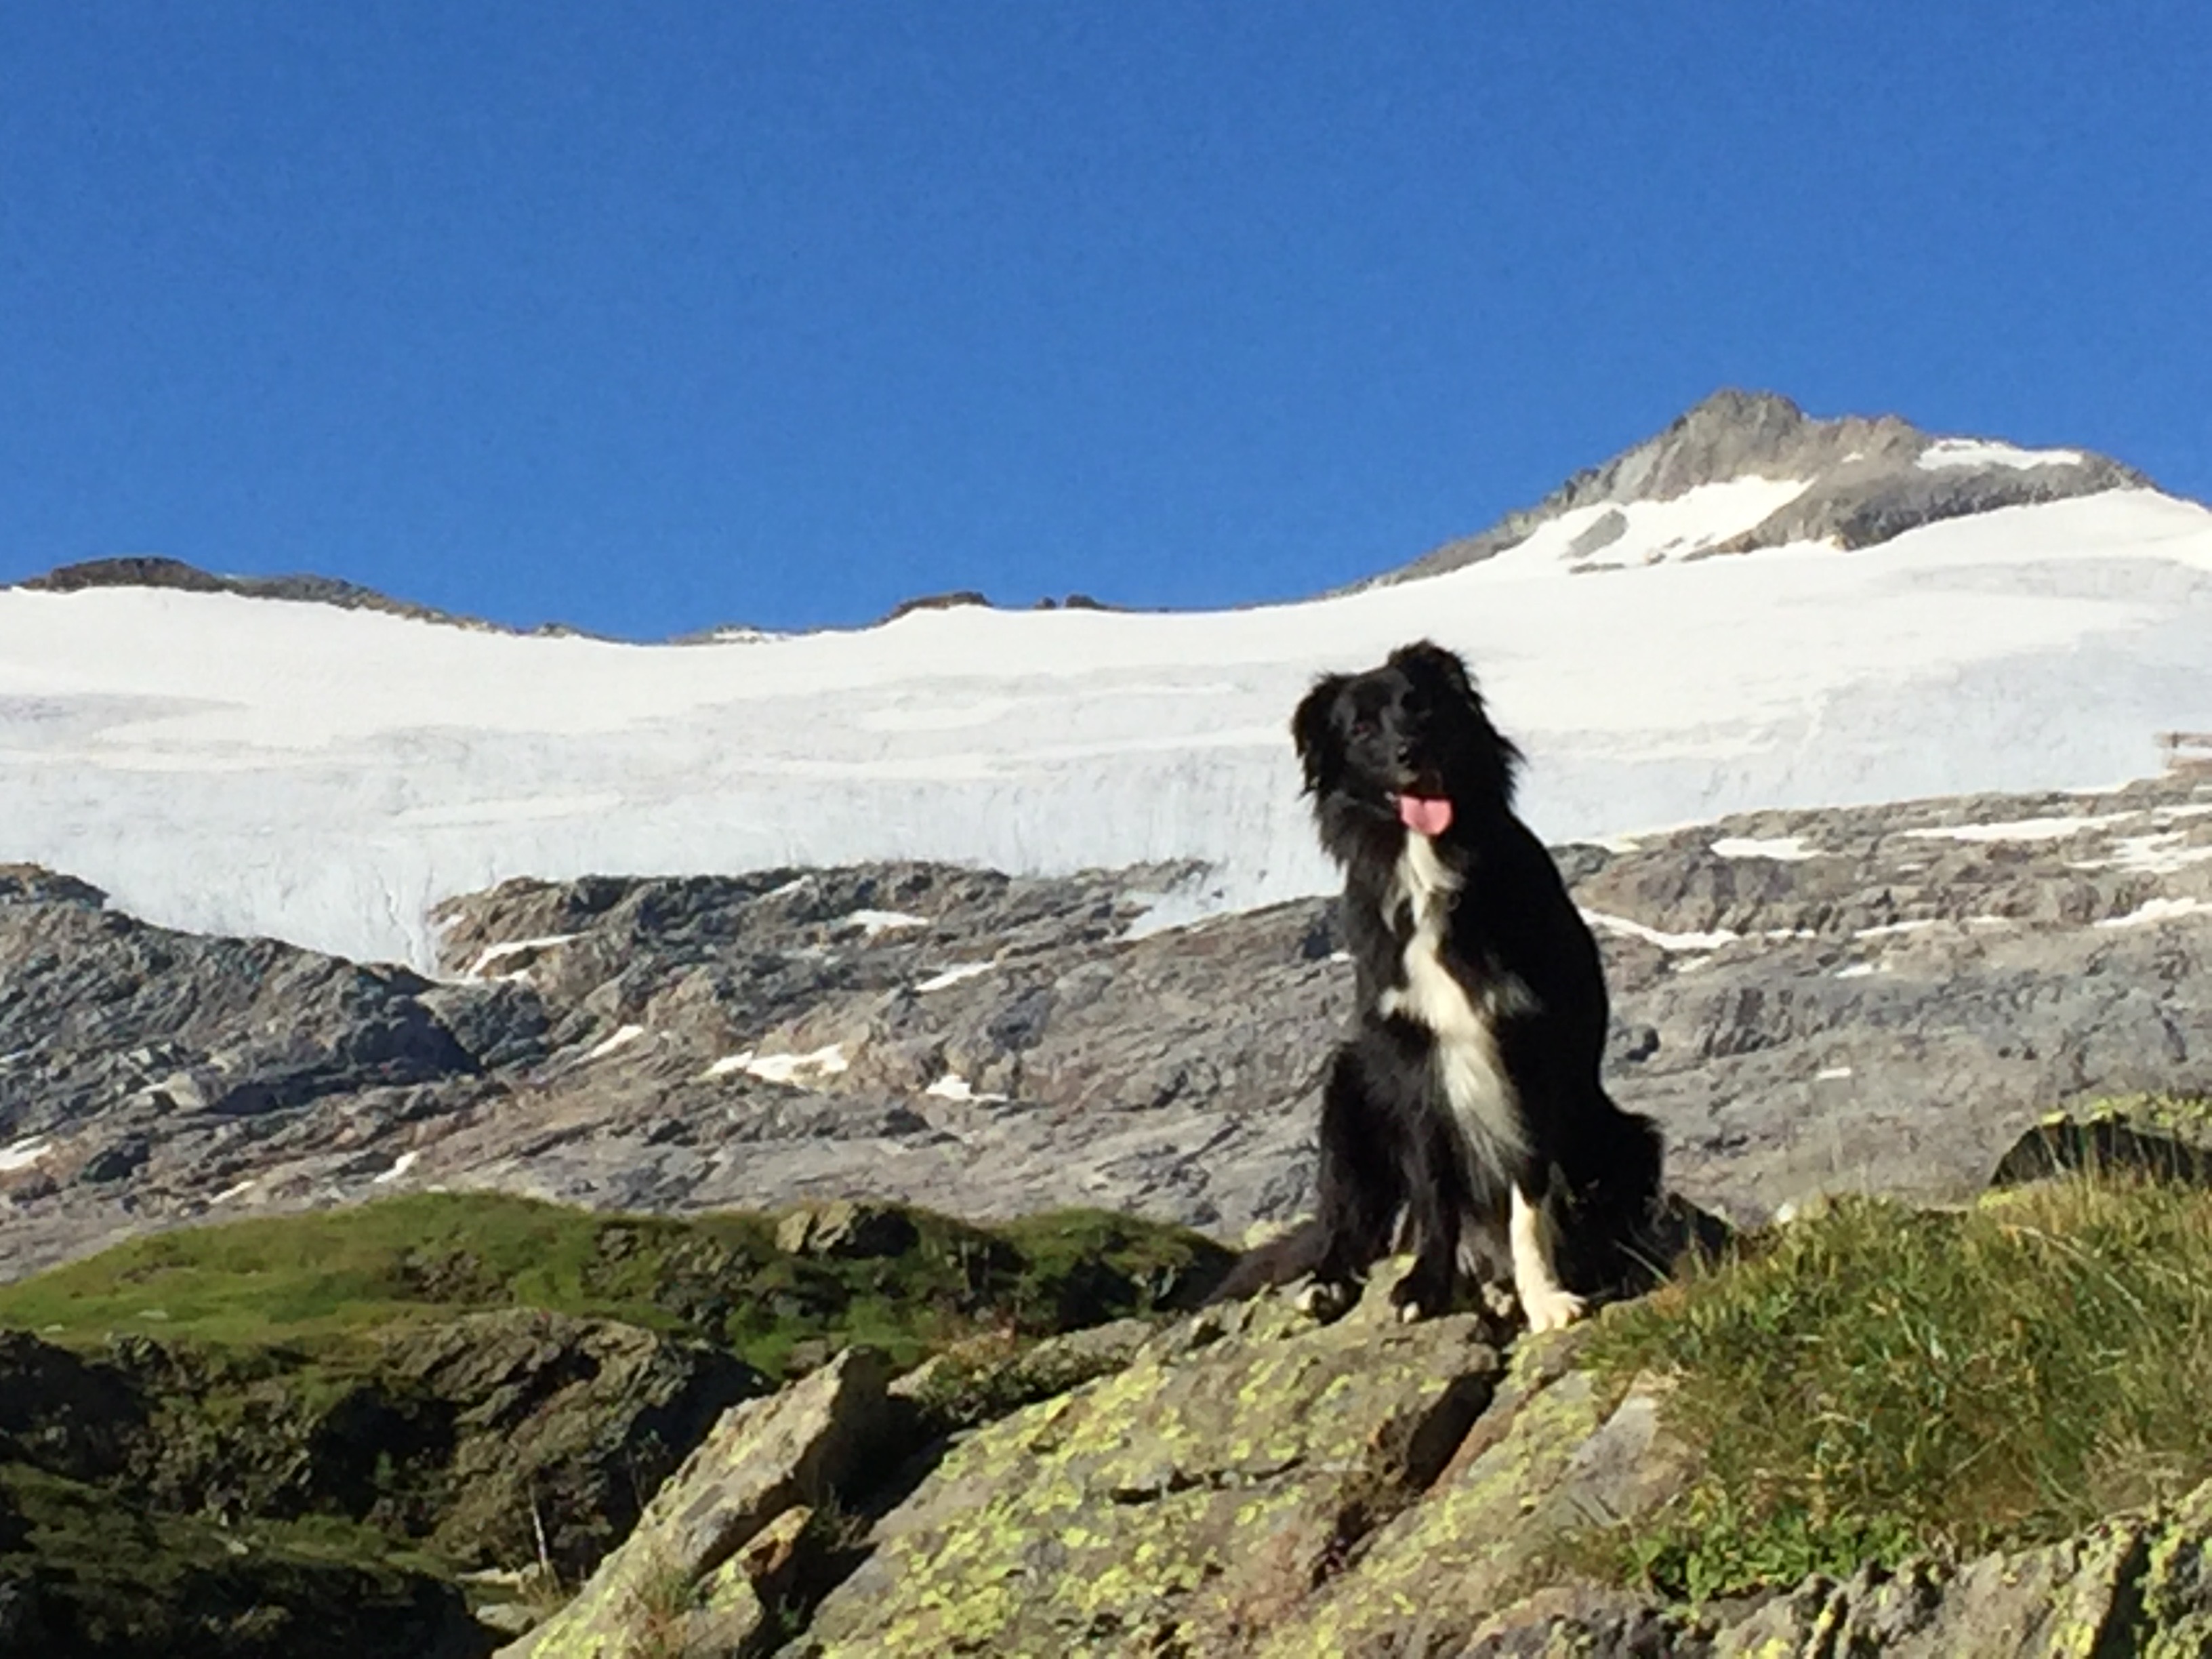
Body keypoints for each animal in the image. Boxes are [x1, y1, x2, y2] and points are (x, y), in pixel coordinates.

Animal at [1216, 640, 1663, 1330]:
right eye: (1360, 728)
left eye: (1420, 707)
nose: (1411, 754)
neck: (1427, 865)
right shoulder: (1413, 1060)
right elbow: (1433, 1191)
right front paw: (1427, 1285)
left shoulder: (1529, 1050)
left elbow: (1529, 1192)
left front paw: (1545, 1296)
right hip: (1348, 1090)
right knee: (1347, 1219)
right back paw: (1329, 1282)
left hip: (1625, 1136)